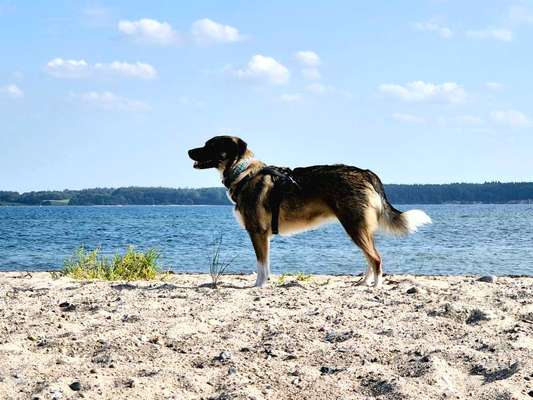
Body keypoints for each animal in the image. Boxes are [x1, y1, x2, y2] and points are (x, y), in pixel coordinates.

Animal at [189, 137, 430, 288]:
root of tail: (365, 172)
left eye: (210, 145)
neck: (243, 173)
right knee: (370, 258)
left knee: (376, 259)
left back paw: (376, 286)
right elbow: (266, 264)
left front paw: (259, 286)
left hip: (354, 226)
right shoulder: (264, 235)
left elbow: (261, 265)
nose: (188, 151)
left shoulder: (257, 232)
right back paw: (363, 282)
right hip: (359, 228)